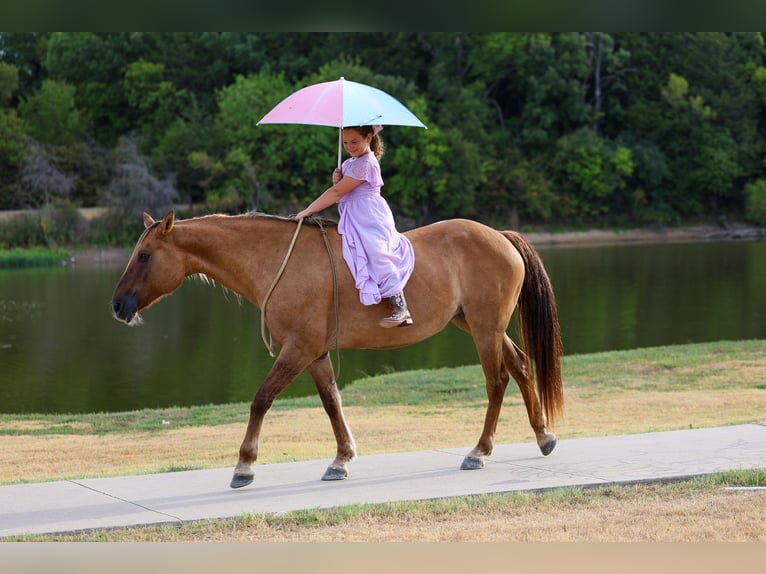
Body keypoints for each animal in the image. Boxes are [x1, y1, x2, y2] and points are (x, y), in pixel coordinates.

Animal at [111, 211, 564, 489]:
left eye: (145, 255)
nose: (117, 305)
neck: (277, 262)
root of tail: (499, 236)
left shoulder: (297, 349)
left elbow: (261, 399)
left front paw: (245, 465)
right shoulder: (314, 354)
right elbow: (331, 403)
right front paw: (342, 458)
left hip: (485, 329)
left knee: (497, 380)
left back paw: (480, 451)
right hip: (479, 325)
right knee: (521, 367)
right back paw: (543, 436)